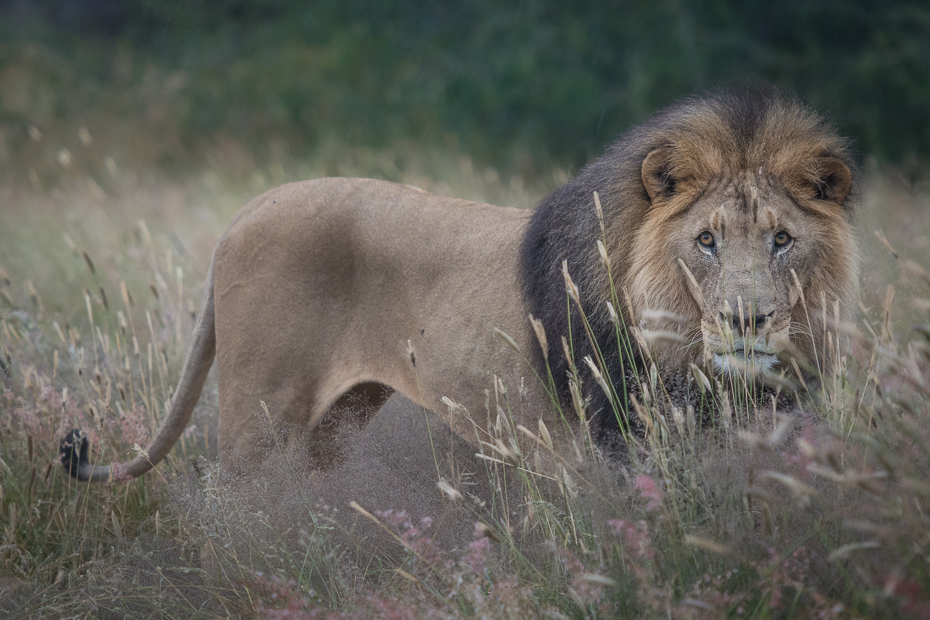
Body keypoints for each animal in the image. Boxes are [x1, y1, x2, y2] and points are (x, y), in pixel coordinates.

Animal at [59, 87, 856, 482]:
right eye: (705, 241)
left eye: (783, 241)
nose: (747, 320)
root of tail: (248, 208)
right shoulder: (613, 445)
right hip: (259, 416)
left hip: (335, 421)